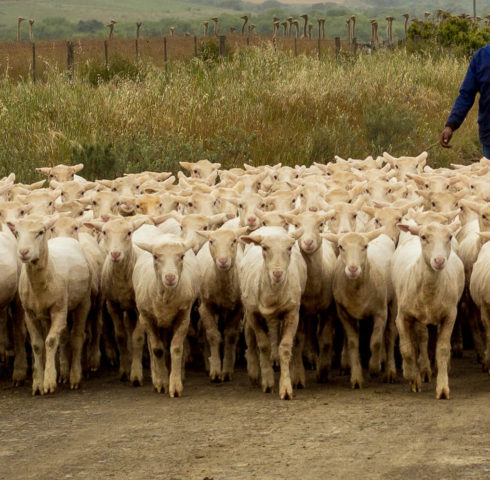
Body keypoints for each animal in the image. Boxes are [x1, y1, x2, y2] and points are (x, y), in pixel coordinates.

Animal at [7, 217, 92, 394]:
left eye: (40, 232)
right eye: (17, 232)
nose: (23, 252)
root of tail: (65, 238)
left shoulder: (59, 310)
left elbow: (51, 341)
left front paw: (49, 381)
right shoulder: (29, 314)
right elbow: (37, 345)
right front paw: (38, 383)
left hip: (84, 301)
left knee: (77, 337)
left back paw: (75, 377)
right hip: (45, 314)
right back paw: (63, 373)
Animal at [132, 234, 199, 396]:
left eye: (181, 256)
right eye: (155, 257)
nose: (170, 277)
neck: (165, 298)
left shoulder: (183, 317)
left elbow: (176, 348)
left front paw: (175, 385)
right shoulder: (147, 318)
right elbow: (157, 350)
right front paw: (162, 382)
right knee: (152, 347)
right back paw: (156, 377)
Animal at [238, 227, 306, 400]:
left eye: (289, 248)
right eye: (264, 248)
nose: (277, 273)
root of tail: (270, 227)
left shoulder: (292, 313)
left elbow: (285, 347)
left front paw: (286, 387)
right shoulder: (253, 314)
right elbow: (263, 345)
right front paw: (267, 381)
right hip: (247, 309)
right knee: (249, 336)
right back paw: (254, 371)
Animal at [394, 220, 464, 398]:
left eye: (449, 237)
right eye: (424, 237)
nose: (439, 261)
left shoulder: (450, 315)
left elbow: (443, 349)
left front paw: (443, 388)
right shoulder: (402, 317)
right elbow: (407, 350)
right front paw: (412, 377)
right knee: (418, 339)